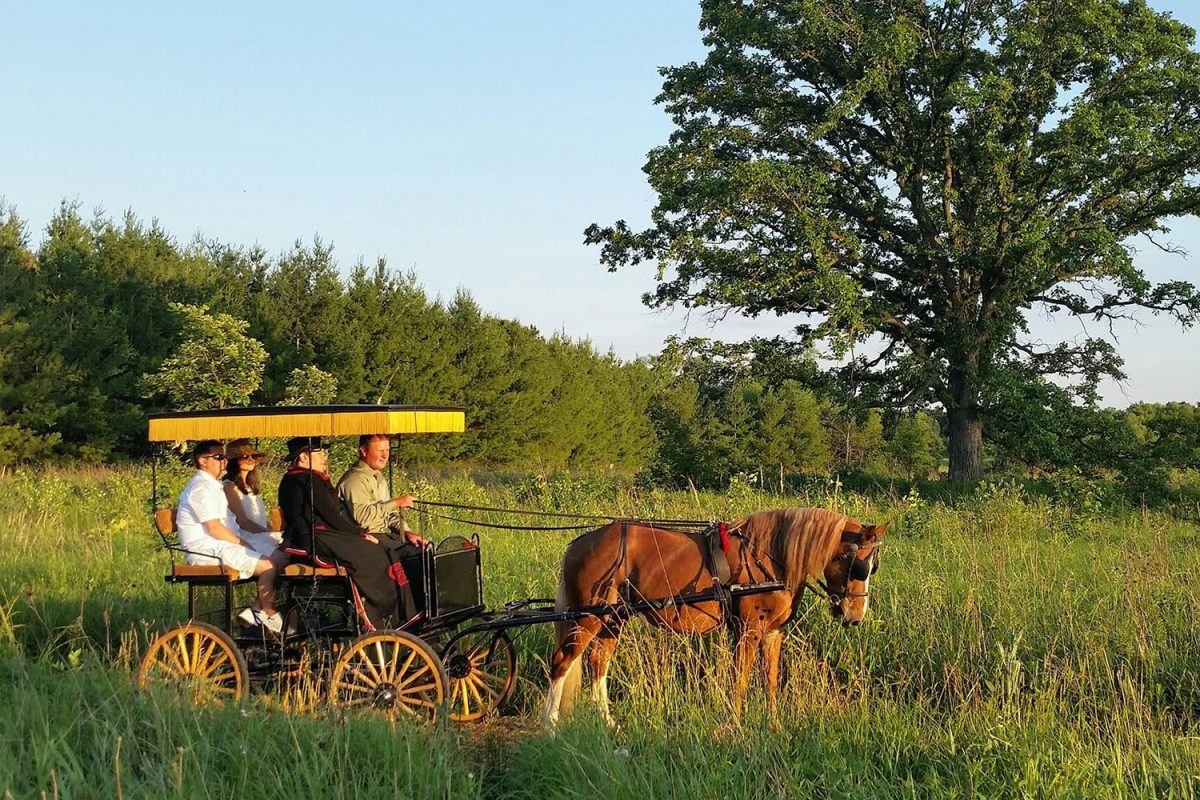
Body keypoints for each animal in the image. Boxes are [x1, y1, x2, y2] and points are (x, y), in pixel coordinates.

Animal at [540, 510, 888, 729]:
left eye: (873, 567)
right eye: (855, 564)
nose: (854, 617)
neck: (769, 557)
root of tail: (580, 542)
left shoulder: (772, 634)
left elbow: (771, 681)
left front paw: (774, 726)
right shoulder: (748, 631)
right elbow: (741, 680)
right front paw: (735, 726)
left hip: (613, 618)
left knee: (597, 662)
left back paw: (608, 723)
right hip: (588, 617)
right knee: (562, 663)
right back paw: (550, 726)